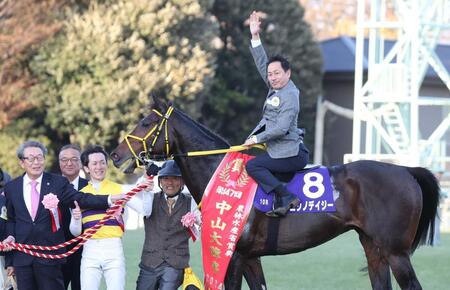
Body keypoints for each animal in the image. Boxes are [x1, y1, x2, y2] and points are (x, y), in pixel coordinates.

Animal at [110, 98, 440, 290]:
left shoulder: (234, 256)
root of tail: (406, 170)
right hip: (374, 250)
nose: (115, 154)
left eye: (147, 122)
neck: (220, 173)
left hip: (397, 253)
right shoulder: (251, 259)